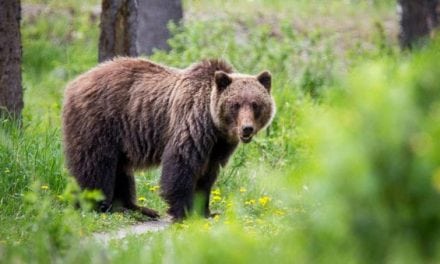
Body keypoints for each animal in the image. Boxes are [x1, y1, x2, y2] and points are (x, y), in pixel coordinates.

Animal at [62, 58, 276, 221]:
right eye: (235, 104)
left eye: (255, 104)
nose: (246, 129)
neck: (215, 125)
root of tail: (74, 83)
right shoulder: (191, 124)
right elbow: (181, 165)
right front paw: (184, 212)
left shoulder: (217, 146)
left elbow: (207, 175)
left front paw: (207, 211)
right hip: (99, 122)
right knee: (96, 164)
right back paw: (96, 204)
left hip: (120, 138)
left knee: (121, 170)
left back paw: (137, 208)